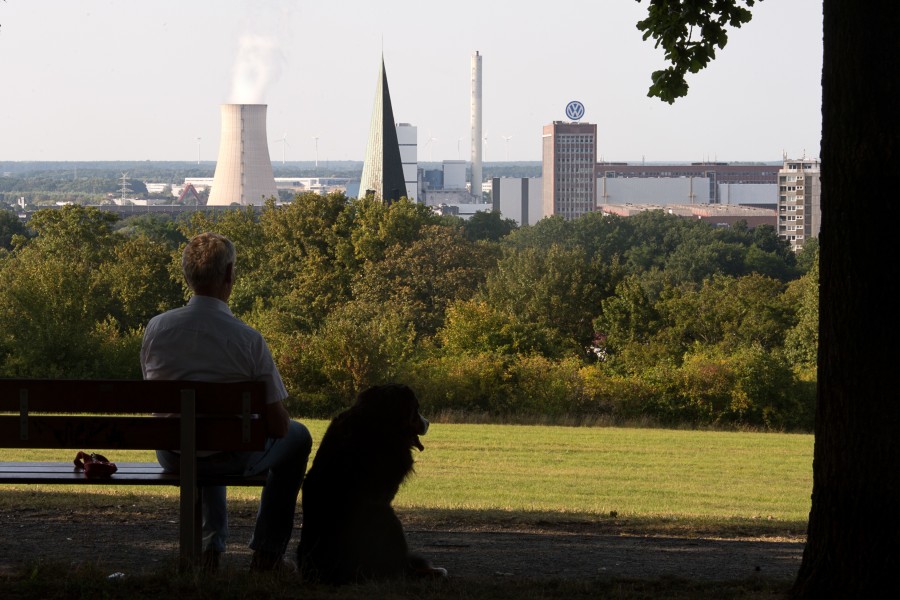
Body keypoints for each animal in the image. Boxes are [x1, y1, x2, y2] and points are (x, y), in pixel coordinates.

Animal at [298, 382, 448, 584]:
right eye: (415, 408)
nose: (429, 422)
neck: (379, 419)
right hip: (387, 517)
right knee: (401, 567)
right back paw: (432, 571)